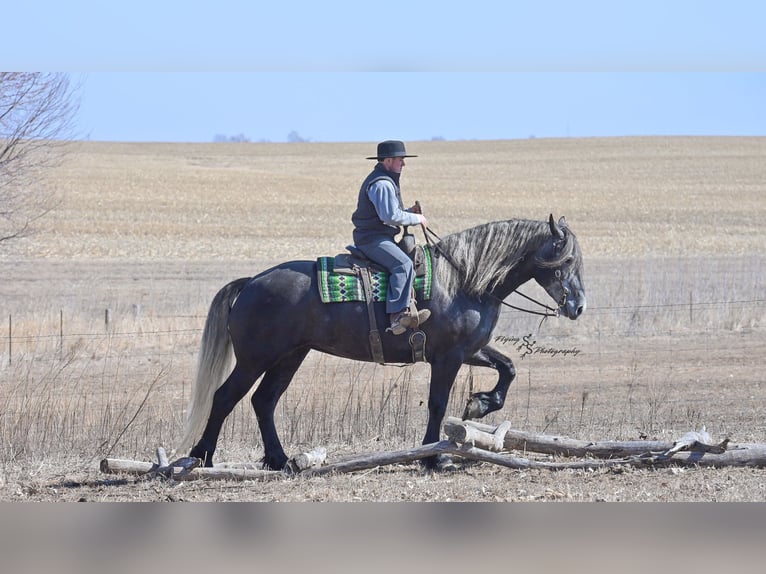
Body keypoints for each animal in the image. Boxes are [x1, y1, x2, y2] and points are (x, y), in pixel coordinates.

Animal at [177, 215, 586, 470]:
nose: (578, 305)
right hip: (255, 360)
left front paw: (479, 405)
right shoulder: (448, 357)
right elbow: (437, 404)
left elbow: (508, 368)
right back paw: (202, 457)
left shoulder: (468, 351)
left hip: (289, 356)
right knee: (225, 398)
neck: (464, 281)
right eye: (566, 260)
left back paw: (280, 461)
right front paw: (434, 456)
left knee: (264, 401)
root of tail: (251, 282)